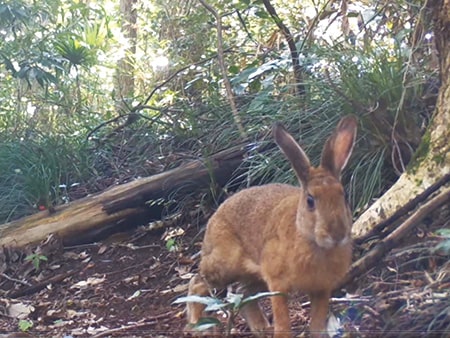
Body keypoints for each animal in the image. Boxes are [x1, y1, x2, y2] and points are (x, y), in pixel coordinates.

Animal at [185, 115, 356, 336]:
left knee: (243, 294)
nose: (337, 233)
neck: (312, 242)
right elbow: (283, 323)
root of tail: (213, 219)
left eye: (343, 196)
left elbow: (317, 325)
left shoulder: (321, 289)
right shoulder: (277, 283)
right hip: (225, 264)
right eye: (310, 201)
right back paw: (197, 325)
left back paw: (260, 328)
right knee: (197, 283)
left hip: (254, 277)